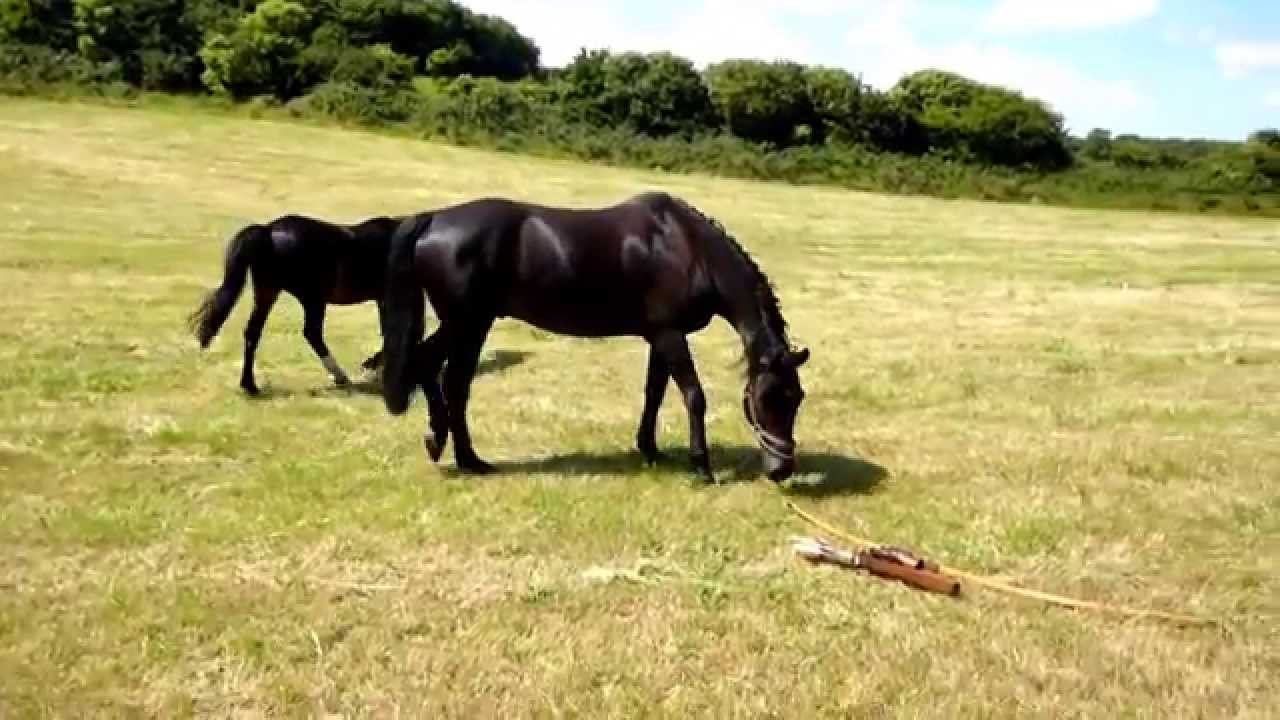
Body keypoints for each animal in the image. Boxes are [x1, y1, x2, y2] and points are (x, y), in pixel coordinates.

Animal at [187, 212, 405, 395]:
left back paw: (250, 385)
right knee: (312, 333)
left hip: (268, 291)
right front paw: (374, 367)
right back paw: (340, 377)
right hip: (312, 298)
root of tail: (268, 231)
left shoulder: (383, 299)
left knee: (253, 332)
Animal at [378, 190, 810, 483]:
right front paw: (701, 466)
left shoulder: (659, 336)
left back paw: (455, 452)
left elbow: (654, 394)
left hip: (470, 324)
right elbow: (693, 396)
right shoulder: (671, 335)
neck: (687, 247)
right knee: (440, 374)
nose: (781, 469)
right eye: (767, 398)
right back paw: (452, 451)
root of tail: (432, 220)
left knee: (442, 375)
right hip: (465, 323)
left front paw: (649, 450)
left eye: (797, 398)